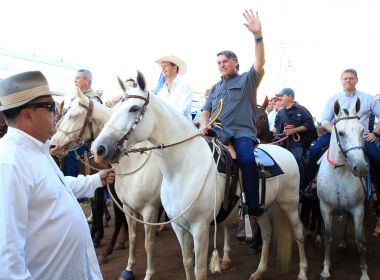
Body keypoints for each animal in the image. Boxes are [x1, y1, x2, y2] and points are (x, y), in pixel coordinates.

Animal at [49, 90, 162, 280]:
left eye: (72, 116)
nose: (52, 145)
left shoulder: (148, 208)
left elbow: (144, 239)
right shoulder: (119, 197)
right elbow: (122, 224)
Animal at [92, 71, 308, 280]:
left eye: (134, 108)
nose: (98, 149)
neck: (184, 169)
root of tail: (284, 152)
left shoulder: (199, 228)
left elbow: (199, 270)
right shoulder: (179, 227)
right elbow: (188, 263)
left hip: (289, 204)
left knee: (298, 234)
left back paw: (303, 272)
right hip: (261, 208)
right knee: (267, 234)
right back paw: (259, 271)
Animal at [316, 98, 370, 280]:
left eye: (362, 130)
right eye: (341, 133)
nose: (361, 168)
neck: (339, 171)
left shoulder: (358, 208)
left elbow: (360, 242)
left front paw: (364, 273)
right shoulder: (325, 207)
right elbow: (328, 237)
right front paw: (325, 269)